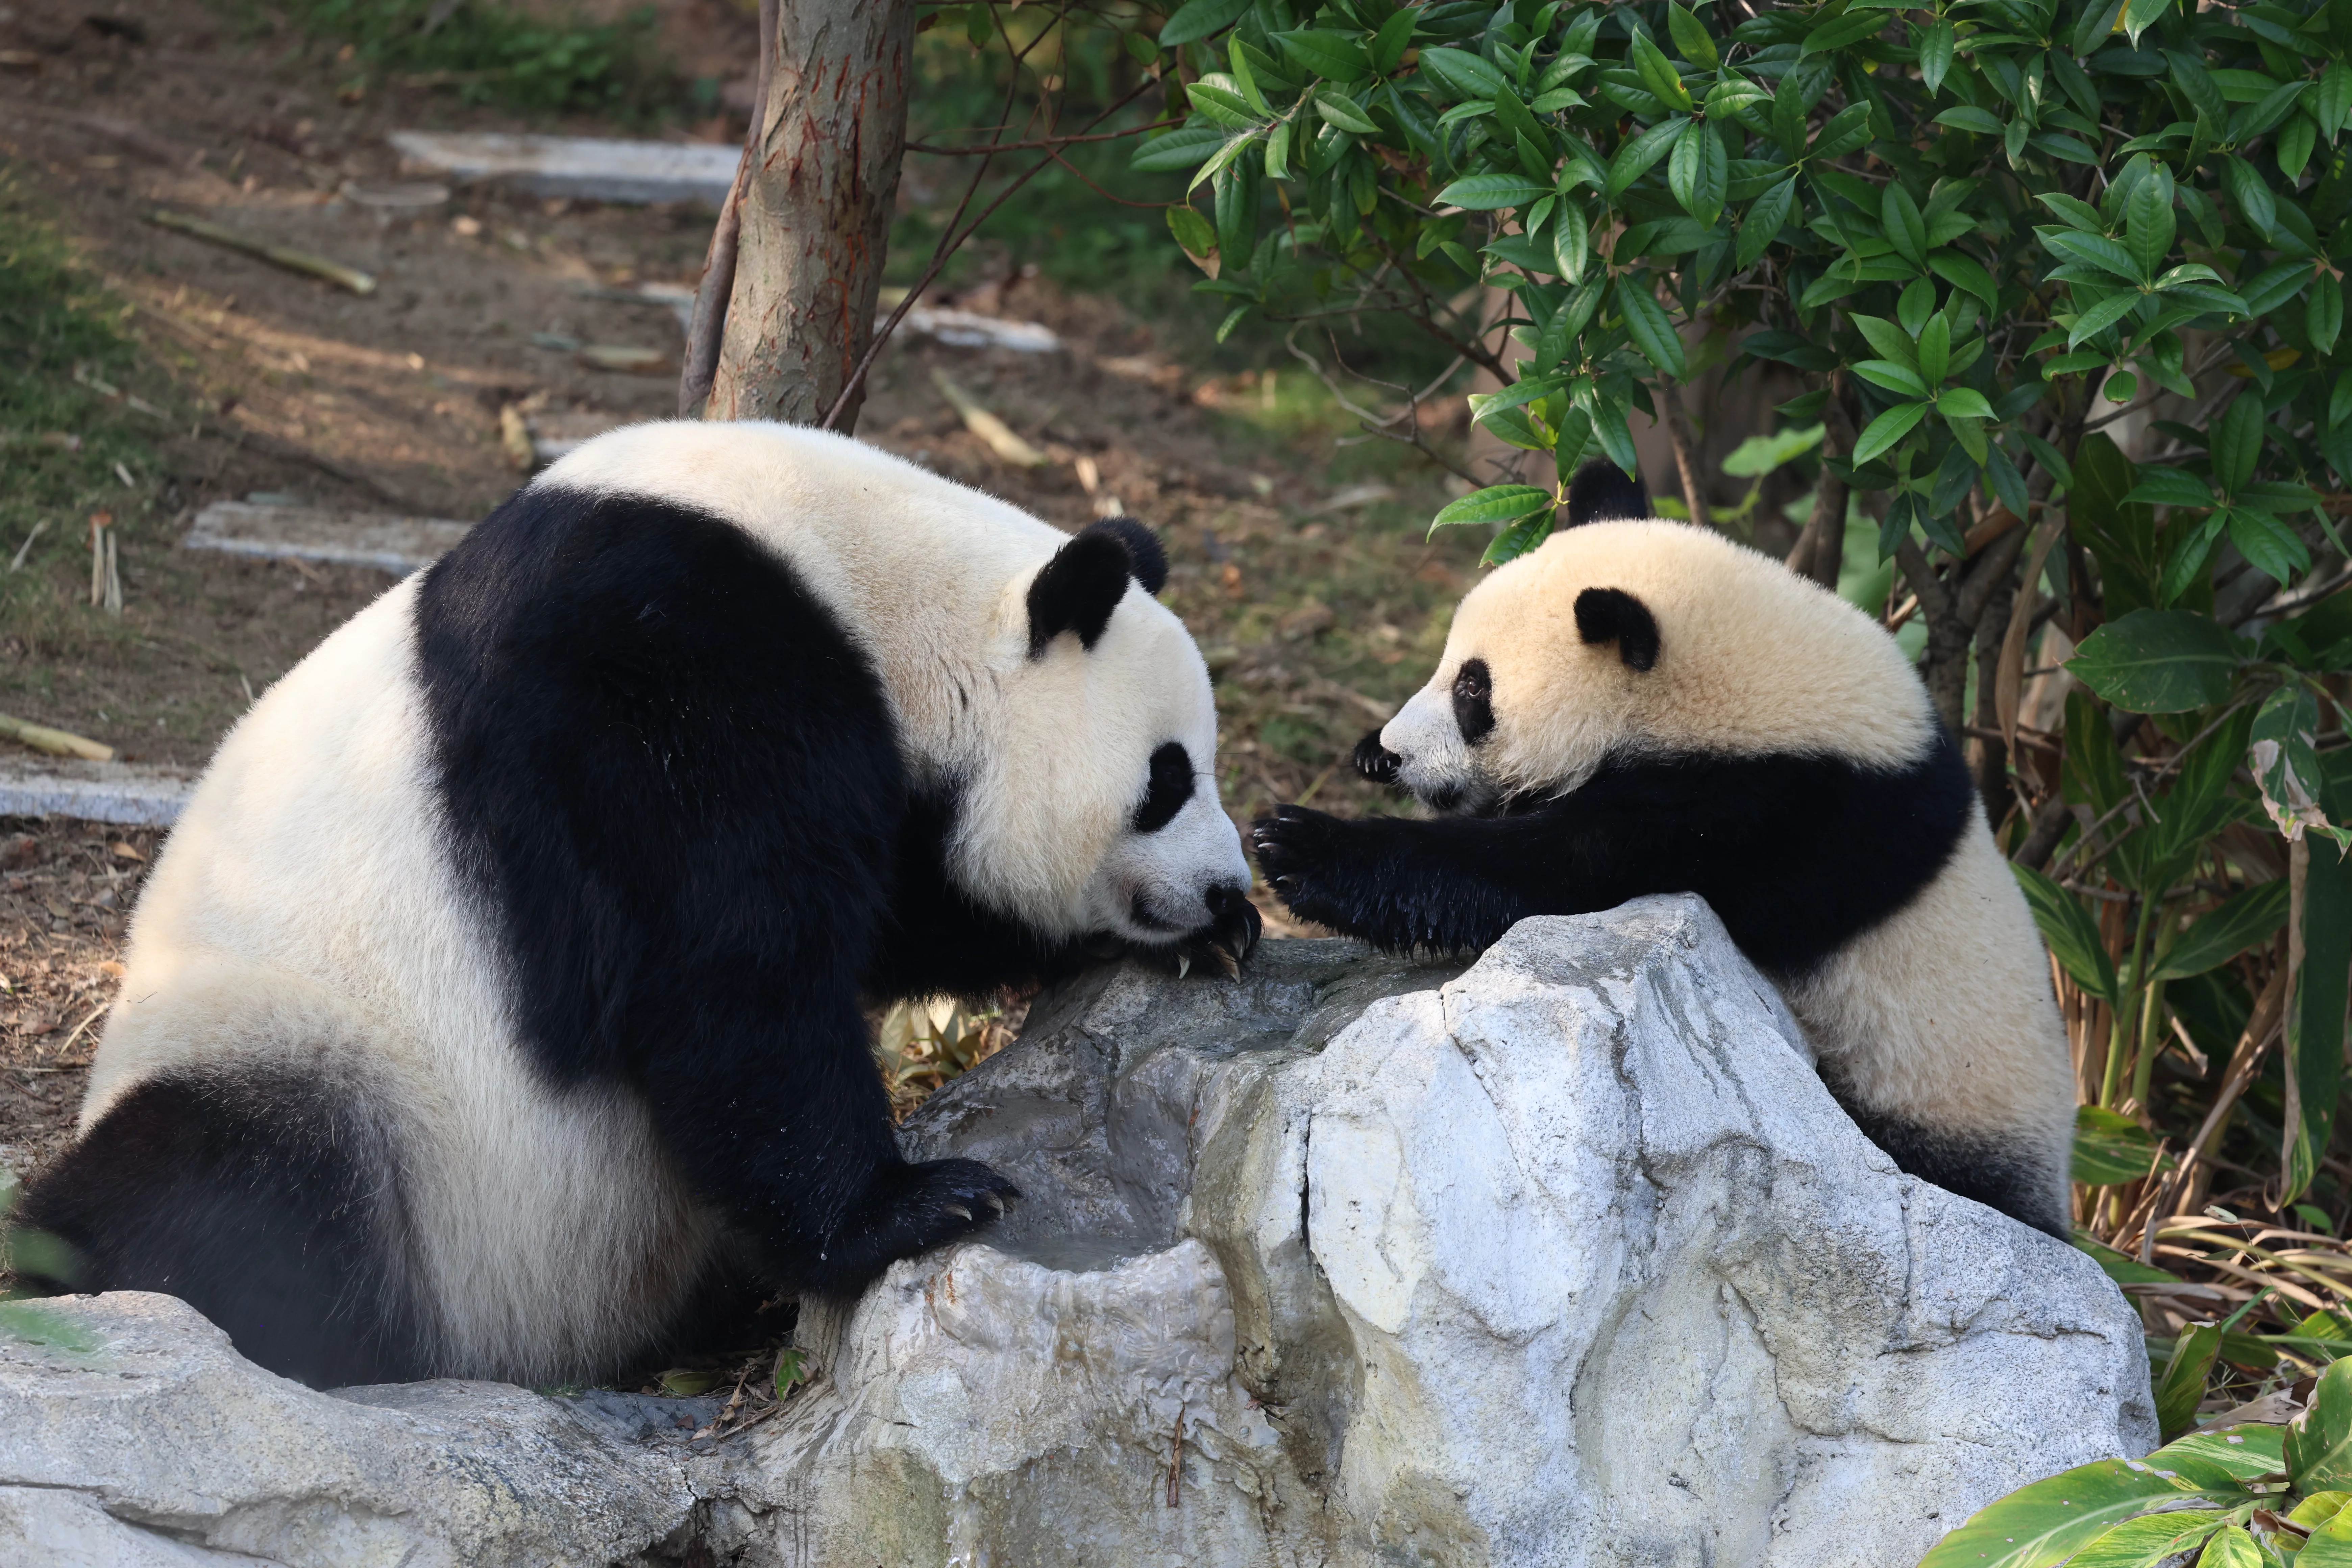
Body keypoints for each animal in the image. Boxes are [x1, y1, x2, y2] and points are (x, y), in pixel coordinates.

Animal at [13, 420, 1261, 1388]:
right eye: (1166, 779)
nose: (1223, 884)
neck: (865, 583)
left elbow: (893, 915)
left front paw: (1209, 941)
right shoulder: (664, 679)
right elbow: (731, 974)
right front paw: (916, 1207)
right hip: (319, 1063)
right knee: (216, 1186)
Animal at [1251, 463, 2074, 1237]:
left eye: (1474, 691)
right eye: (1451, 670)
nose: (1397, 753)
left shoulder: (1780, 814)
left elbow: (1553, 870)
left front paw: (1301, 847)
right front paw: (1360, 760)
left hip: (1935, 1102)